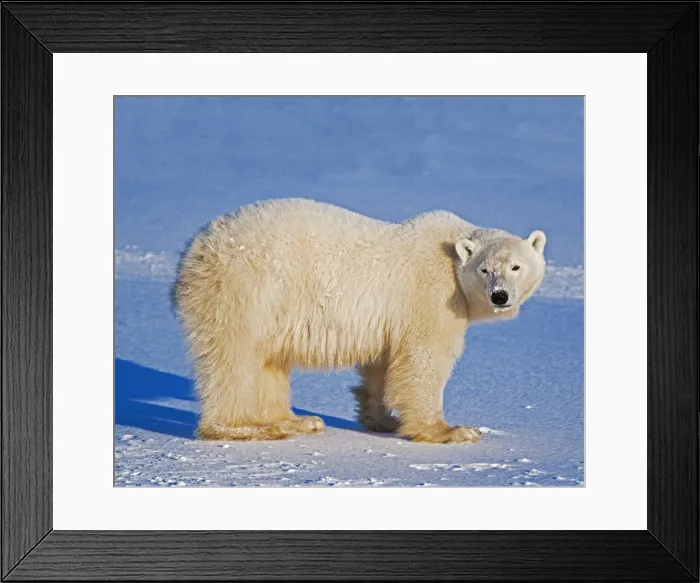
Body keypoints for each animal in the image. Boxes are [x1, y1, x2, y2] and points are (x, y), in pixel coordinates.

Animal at [172, 198, 547, 444]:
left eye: (516, 266)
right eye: (484, 269)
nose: (500, 296)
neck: (451, 255)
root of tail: (196, 250)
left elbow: (383, 363)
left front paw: (380, 418)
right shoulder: (431, 296)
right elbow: (425, 359)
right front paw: (451, 430)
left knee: (268, 362)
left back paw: (297, 420)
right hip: (245, 290)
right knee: (234, 360)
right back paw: (248, 427)